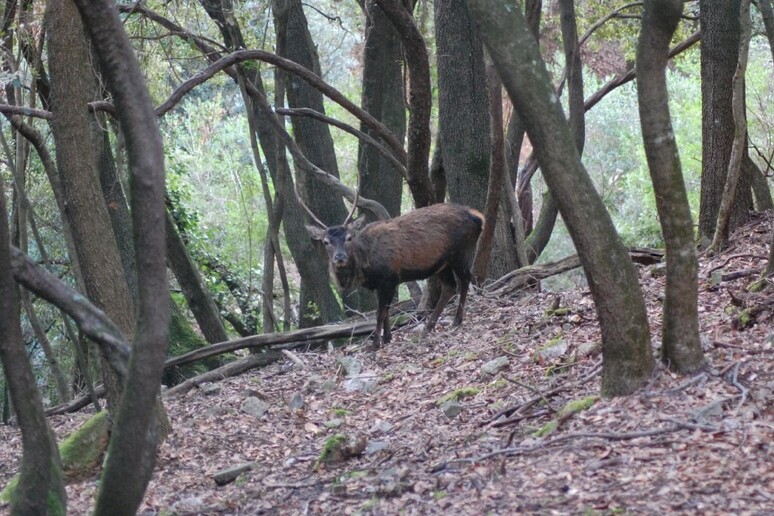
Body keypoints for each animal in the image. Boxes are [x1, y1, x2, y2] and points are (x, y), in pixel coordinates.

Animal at [304, 189, 484, 350]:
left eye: (349, 238)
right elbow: (386, 310)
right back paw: (428, 327)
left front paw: (375, 344)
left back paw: (456, 320)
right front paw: (387, 338)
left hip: (460, 252)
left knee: (466, 279)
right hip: (442, 264)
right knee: (449, 286)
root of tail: (478, 217)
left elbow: (380, 312)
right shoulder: (381, 283)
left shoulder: (388, 278)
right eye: (326, 242)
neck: (365, 266)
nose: (340, 257)